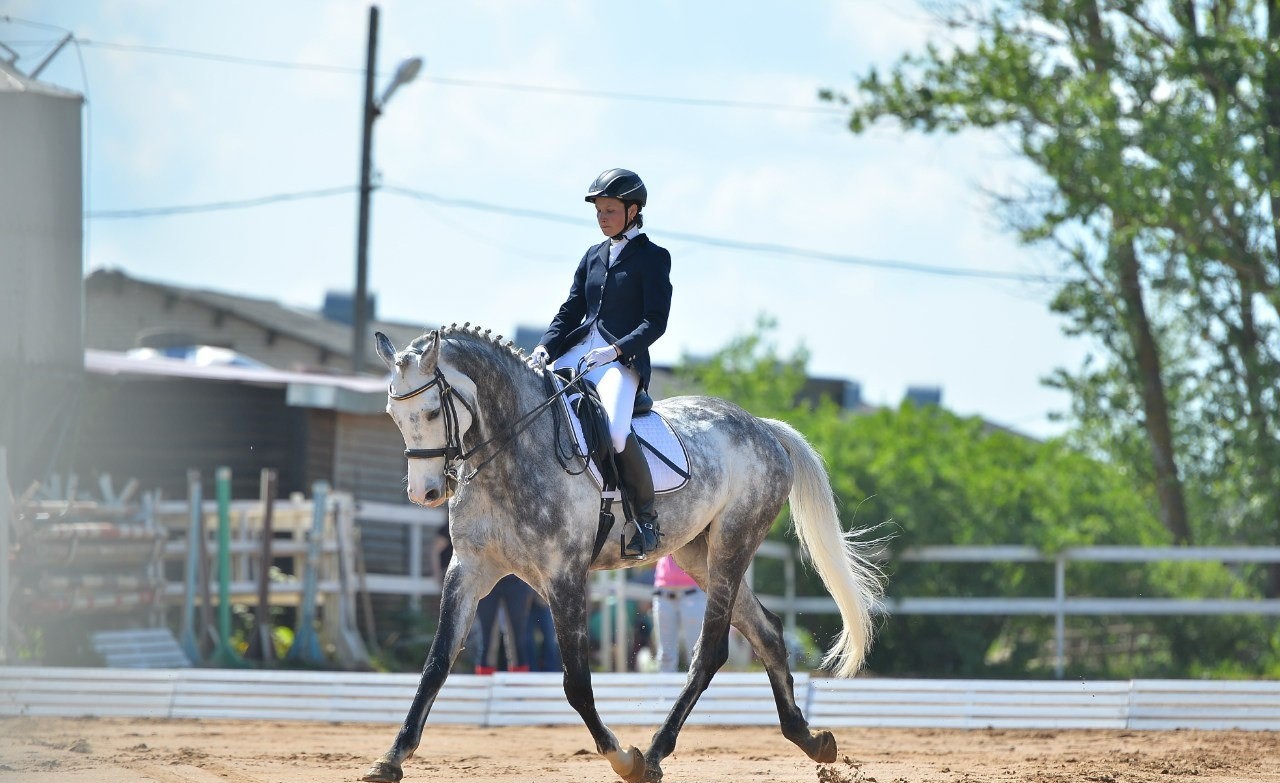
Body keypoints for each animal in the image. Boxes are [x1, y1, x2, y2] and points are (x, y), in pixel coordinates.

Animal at [360, 326, 880, 783]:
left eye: (431, 412)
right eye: (393, 415)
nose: (425, 493)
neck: (511, 450)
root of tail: (763, 427)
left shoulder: (564, 575)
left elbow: (576, 682)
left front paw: (623, 759)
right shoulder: (468, 569)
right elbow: (435, 665)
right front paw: (389, 760)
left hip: (732, 545)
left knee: (710, 652)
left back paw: (653, 753)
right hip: (697, 554)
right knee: (768, 632)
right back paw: (811, 740)